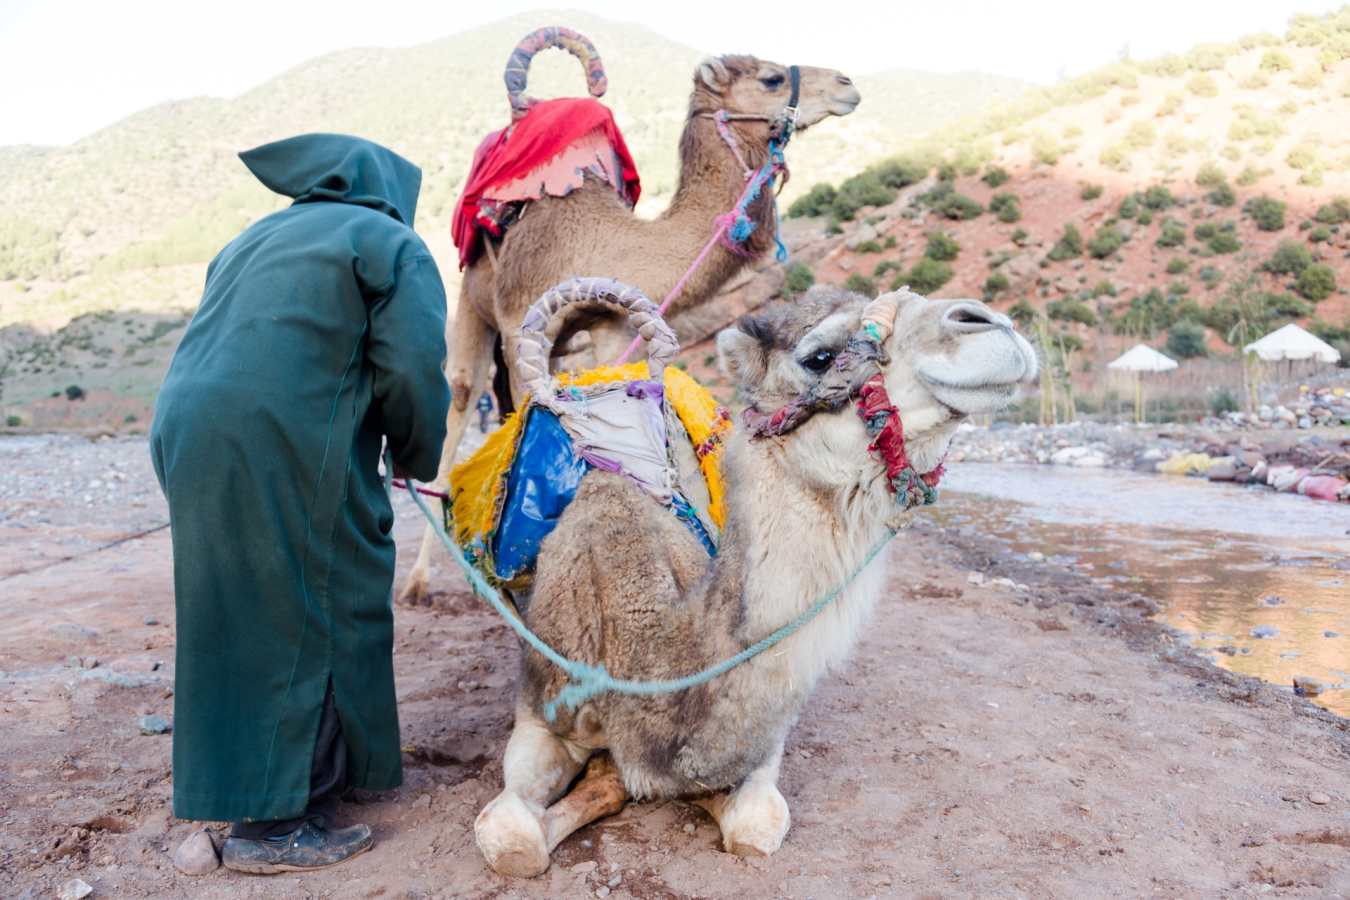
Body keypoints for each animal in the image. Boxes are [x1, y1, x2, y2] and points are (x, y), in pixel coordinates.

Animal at [398, 54, 862, 604]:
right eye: (769, 78)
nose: (847, 83)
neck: (601, 241)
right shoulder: (515, 324)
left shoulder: (612, 328)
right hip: (470, 300)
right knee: (462, 397)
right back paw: (423, 579)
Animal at [472, 285, 1039, 876]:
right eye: (820, 356)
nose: (993, 324)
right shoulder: (540, 712)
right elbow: (512, 841)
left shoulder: (764, 739)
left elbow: (754, 823)